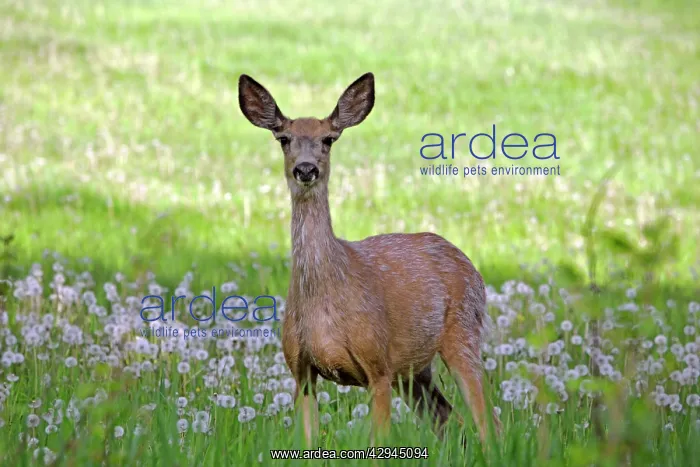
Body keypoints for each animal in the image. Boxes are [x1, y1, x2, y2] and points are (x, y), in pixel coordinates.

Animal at [238, 72, 502, 446]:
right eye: (284, 138)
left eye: (328, 139)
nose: (306, 169)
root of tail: (466, 261)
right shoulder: (301, 371)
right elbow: (307, 442)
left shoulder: (379, 364)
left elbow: (379, 444)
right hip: (415, 371)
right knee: (449, 418)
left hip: (463, 330)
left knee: (489, 422)